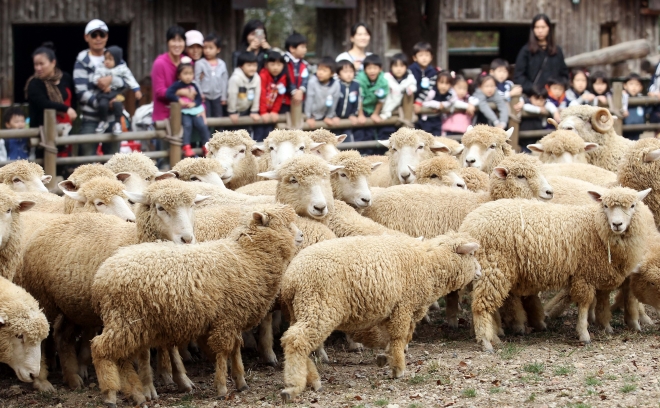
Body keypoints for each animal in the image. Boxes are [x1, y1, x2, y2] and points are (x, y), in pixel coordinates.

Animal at [15, 180, 208, 394]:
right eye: (160, 208)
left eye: (192, 206)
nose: (187, 239)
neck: (134, 240)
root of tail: (52, 223)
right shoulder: (135, 310)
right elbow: (144, 351)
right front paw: (148, 386)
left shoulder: (166, 309)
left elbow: (171, 347)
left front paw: (183, 379)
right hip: (43, 297)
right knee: (42, 337)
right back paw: (42, 381)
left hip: (73, 303)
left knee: (62, 336)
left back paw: (72, 378)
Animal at [89, 204, 300, 404]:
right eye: (285, 224)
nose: (301, 236)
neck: (247, 257)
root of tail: (100, 276)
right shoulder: (225, 320)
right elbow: (223, 351)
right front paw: (222, 387)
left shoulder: (234, 318)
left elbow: (235, 349)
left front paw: (240, 381)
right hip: (125, 319)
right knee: (100, 349)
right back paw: (110, 394)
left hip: (133, 324)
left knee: (121, 357)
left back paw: (137, 393)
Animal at [278, 231, 480, 400]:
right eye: (471, 255)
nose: (480, 271)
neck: (428, 264)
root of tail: (291, 279)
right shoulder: (403, 306)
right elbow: (399, 336)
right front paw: (397, 368)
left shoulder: (393, 309)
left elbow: (392, 336)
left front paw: (385, 357)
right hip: (318, 306)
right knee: (297, 341)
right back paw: (294, 386)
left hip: (300, 310)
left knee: (293, 340)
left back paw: (312, 380)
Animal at [462, 187, 656, 350]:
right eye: (605, 205)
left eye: (632, 205)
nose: (617, 224)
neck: (594, 227)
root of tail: (468, 224)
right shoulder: (584, 274)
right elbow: (584, 304)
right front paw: (584, 334)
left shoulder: (597, 271)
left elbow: (601, 300)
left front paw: (605, 327)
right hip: (493, 266)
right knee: (481, 305)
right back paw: (486, 341)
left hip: (491, 270)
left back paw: (494, 336)